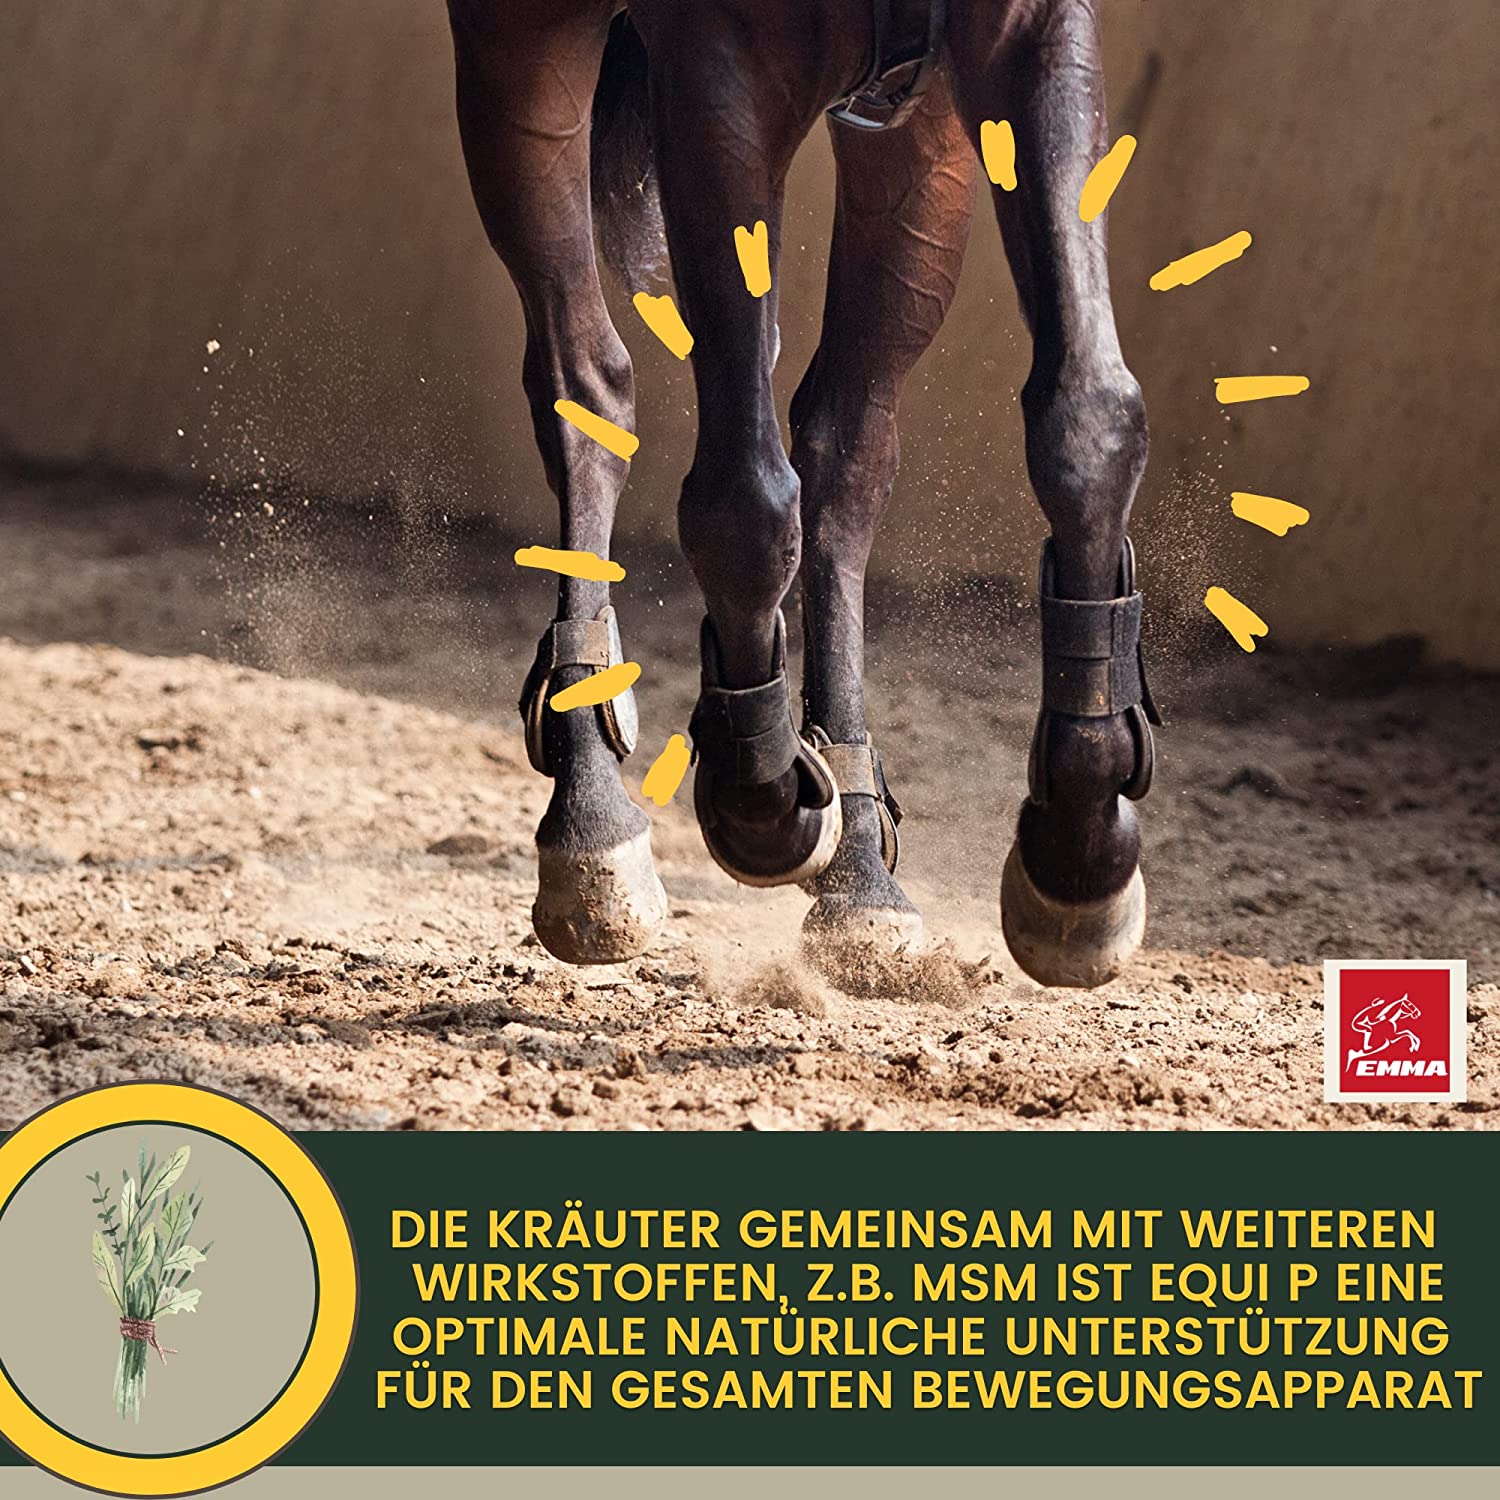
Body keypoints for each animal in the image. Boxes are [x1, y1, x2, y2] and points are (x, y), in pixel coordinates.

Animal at [445, 0, 1159, 988]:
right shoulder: (719, 71)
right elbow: (740, 502)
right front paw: (760, 796)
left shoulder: (1023, 32)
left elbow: (1089, 416)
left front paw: (1081, 852)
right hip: (522, 46)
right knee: (586, 383)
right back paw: (595, 824)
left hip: (914, 145)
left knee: (844, 450)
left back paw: (858, 868)